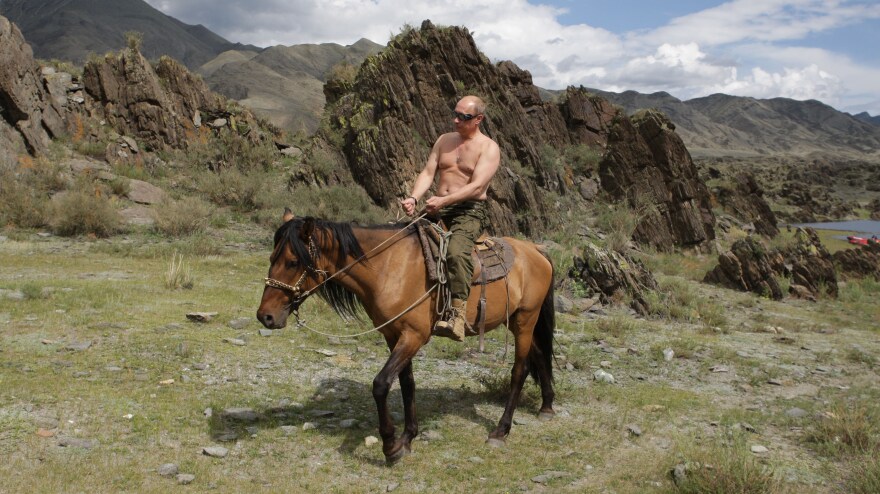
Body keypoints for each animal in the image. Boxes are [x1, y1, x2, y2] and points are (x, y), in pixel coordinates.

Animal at [256, 210, 556, 466]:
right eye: (271, 259)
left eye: (293, 262)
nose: (265, 316)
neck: (387, 268)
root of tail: (536, 251)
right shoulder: (394, 335)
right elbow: (406, 383)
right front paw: (408, 437)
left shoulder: (414, 336)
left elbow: (381, 384)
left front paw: (390, 446)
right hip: (518, 320)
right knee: (540, 355)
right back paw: (547, 406)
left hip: (525, 319)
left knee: (520, 370)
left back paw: (500, 430)